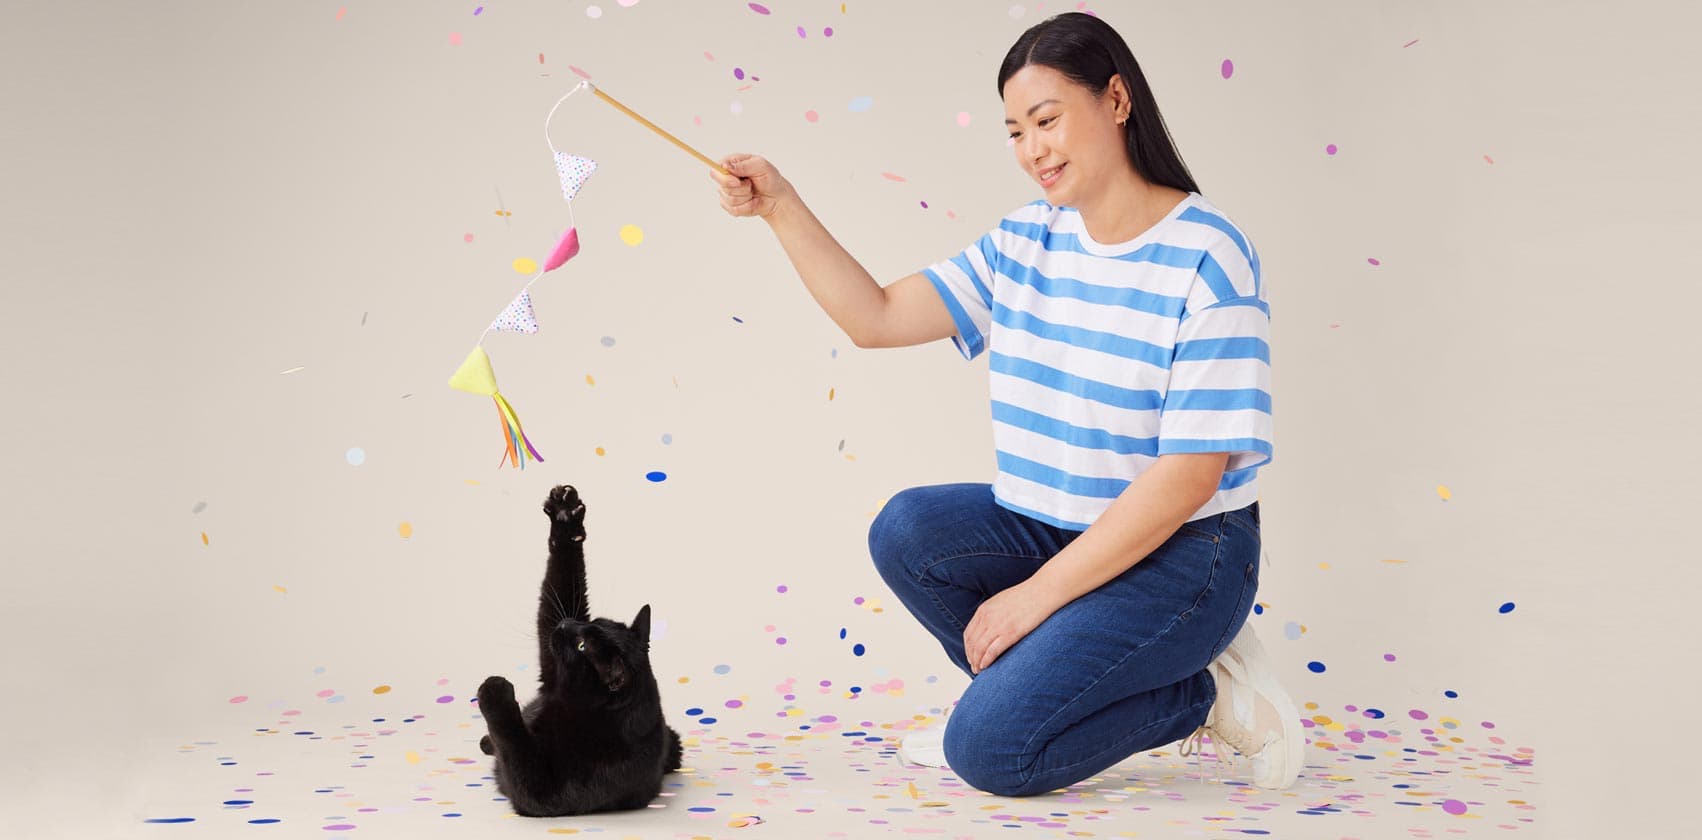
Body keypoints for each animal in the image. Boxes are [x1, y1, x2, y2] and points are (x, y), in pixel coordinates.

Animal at [476, 482, 680, 816]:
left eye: (583, 646)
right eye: (593, 621)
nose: (565, 624)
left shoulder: (545, 793)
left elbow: (515, 744)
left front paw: (496, 691)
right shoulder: (551, 674)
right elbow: (562, 583)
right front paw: (566, 518)